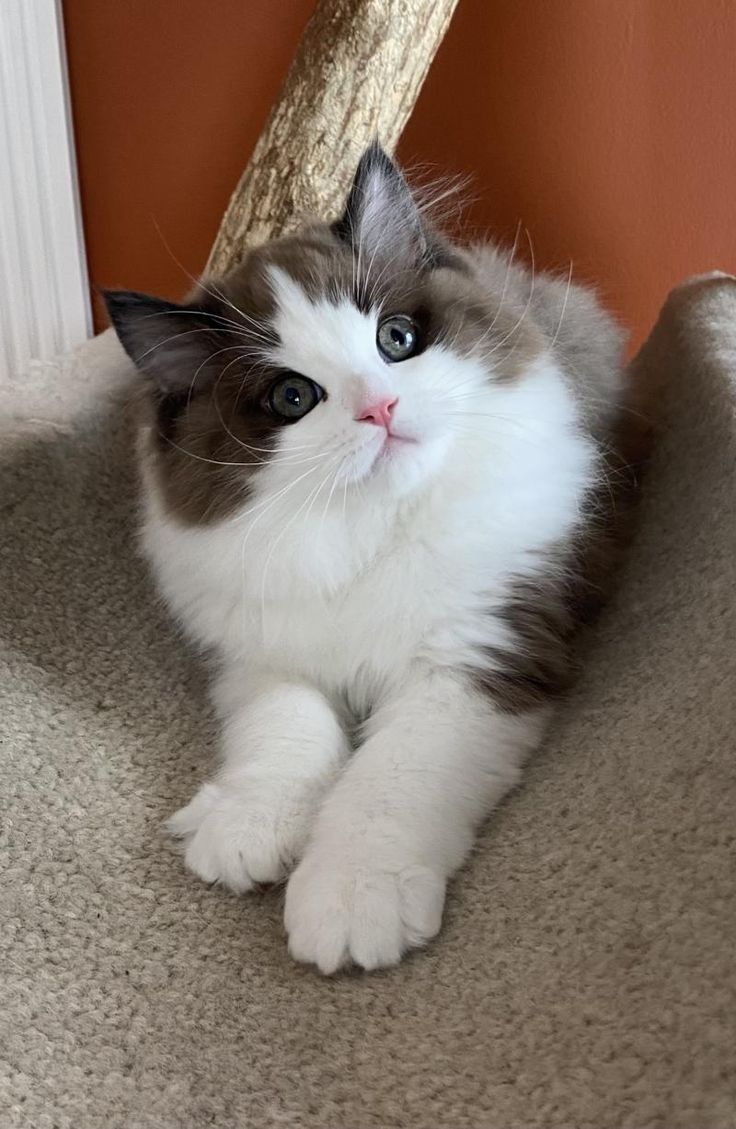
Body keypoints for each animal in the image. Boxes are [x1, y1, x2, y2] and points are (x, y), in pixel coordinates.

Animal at [104, 143, 650, 970]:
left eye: (397, 340)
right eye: (293, 397)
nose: (380, 408)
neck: (371, 530)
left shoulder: (475, 656)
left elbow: (385, 782)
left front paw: (354, 899)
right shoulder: (265, 656)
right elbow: (287, 734)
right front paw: (246, 824)